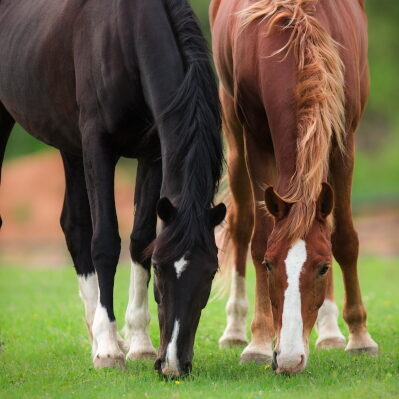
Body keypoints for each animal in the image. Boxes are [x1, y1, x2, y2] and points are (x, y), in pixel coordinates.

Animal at [211, 0, 380, 376]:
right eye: (270, 266)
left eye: (323, 267)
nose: (288, 359)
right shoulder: (256, 140)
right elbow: (259, 238)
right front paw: (259, 342)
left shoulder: (343, 137)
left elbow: (344, 238)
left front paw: (360, 337)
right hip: (232, 128)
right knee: (241, 225)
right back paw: (234, 329)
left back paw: (331, 332)